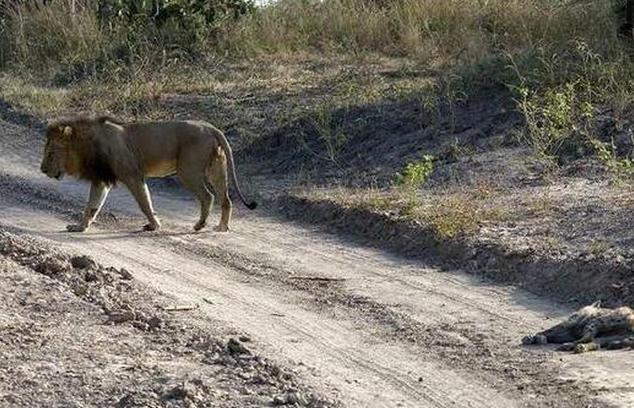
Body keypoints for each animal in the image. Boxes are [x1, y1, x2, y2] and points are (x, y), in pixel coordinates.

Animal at [40, 116, 254, 234]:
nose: (42, 170)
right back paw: (222, 227)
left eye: (50, 153)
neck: (85, 145)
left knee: (208, 196)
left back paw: (200, 225)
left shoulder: (132, 175)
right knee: (226, 199)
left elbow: (144, 203)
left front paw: (154, 225)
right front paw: (80, 227)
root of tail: (211, 127)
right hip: (216, 168)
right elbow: (92, 206)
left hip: (188, 171)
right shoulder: (101, 180)